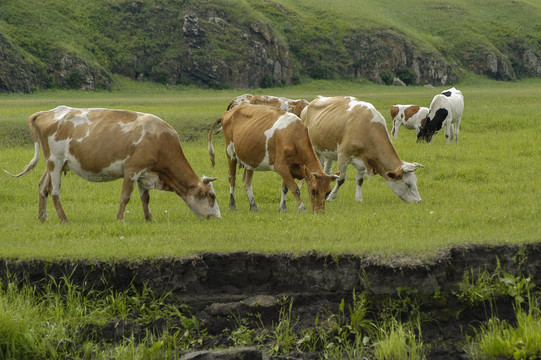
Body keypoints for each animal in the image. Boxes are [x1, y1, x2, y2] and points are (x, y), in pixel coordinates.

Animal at [5, 105, 220, 221]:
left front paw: (149, 218)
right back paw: (64, 219)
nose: (218, 218)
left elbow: (145, 198)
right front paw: (120, 219)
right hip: (55, 162)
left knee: (42, 186)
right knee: (55, 192)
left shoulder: (145, 173)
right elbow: (126, 197)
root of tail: (49, 111)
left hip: (54, 164)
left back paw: (42, 217)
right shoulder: (132, 169)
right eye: (211, 196)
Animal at [208, 102, 338, 212]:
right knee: (232, 179)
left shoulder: (290, 167)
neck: (294, 136)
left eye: (328, 192)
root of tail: (229, 111)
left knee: (247, 181)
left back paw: (253, 206)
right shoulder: (280, 166)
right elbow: (294, 188)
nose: (320, 212)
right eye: (314, 191)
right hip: (230, 153)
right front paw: (301, 208)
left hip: (250, 159)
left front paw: (283, 208)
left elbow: (285, 188)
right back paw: (232, 205)